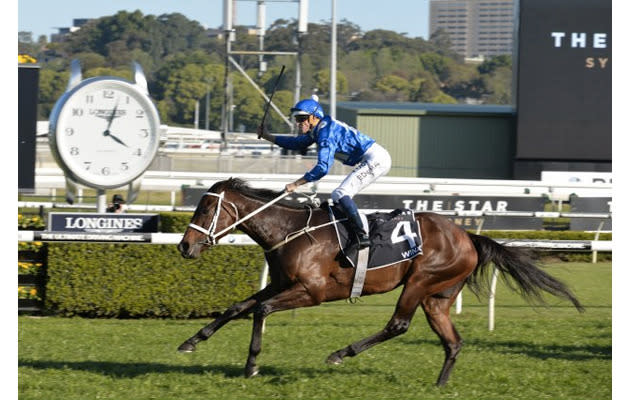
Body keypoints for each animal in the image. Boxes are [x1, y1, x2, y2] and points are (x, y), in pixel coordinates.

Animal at [175, 177, 584, 384]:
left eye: (206, 209)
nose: (184, 246)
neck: (290, 230)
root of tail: (468, 237)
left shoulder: (312, 292)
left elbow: (260, 310)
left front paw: (252, 365)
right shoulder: (279, 283)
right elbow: (237, 306)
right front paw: (191, 342)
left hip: (420, 281)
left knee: (398, 325)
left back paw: (341, 353)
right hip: (437, 297)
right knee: (452, 341)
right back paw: (439, 386)